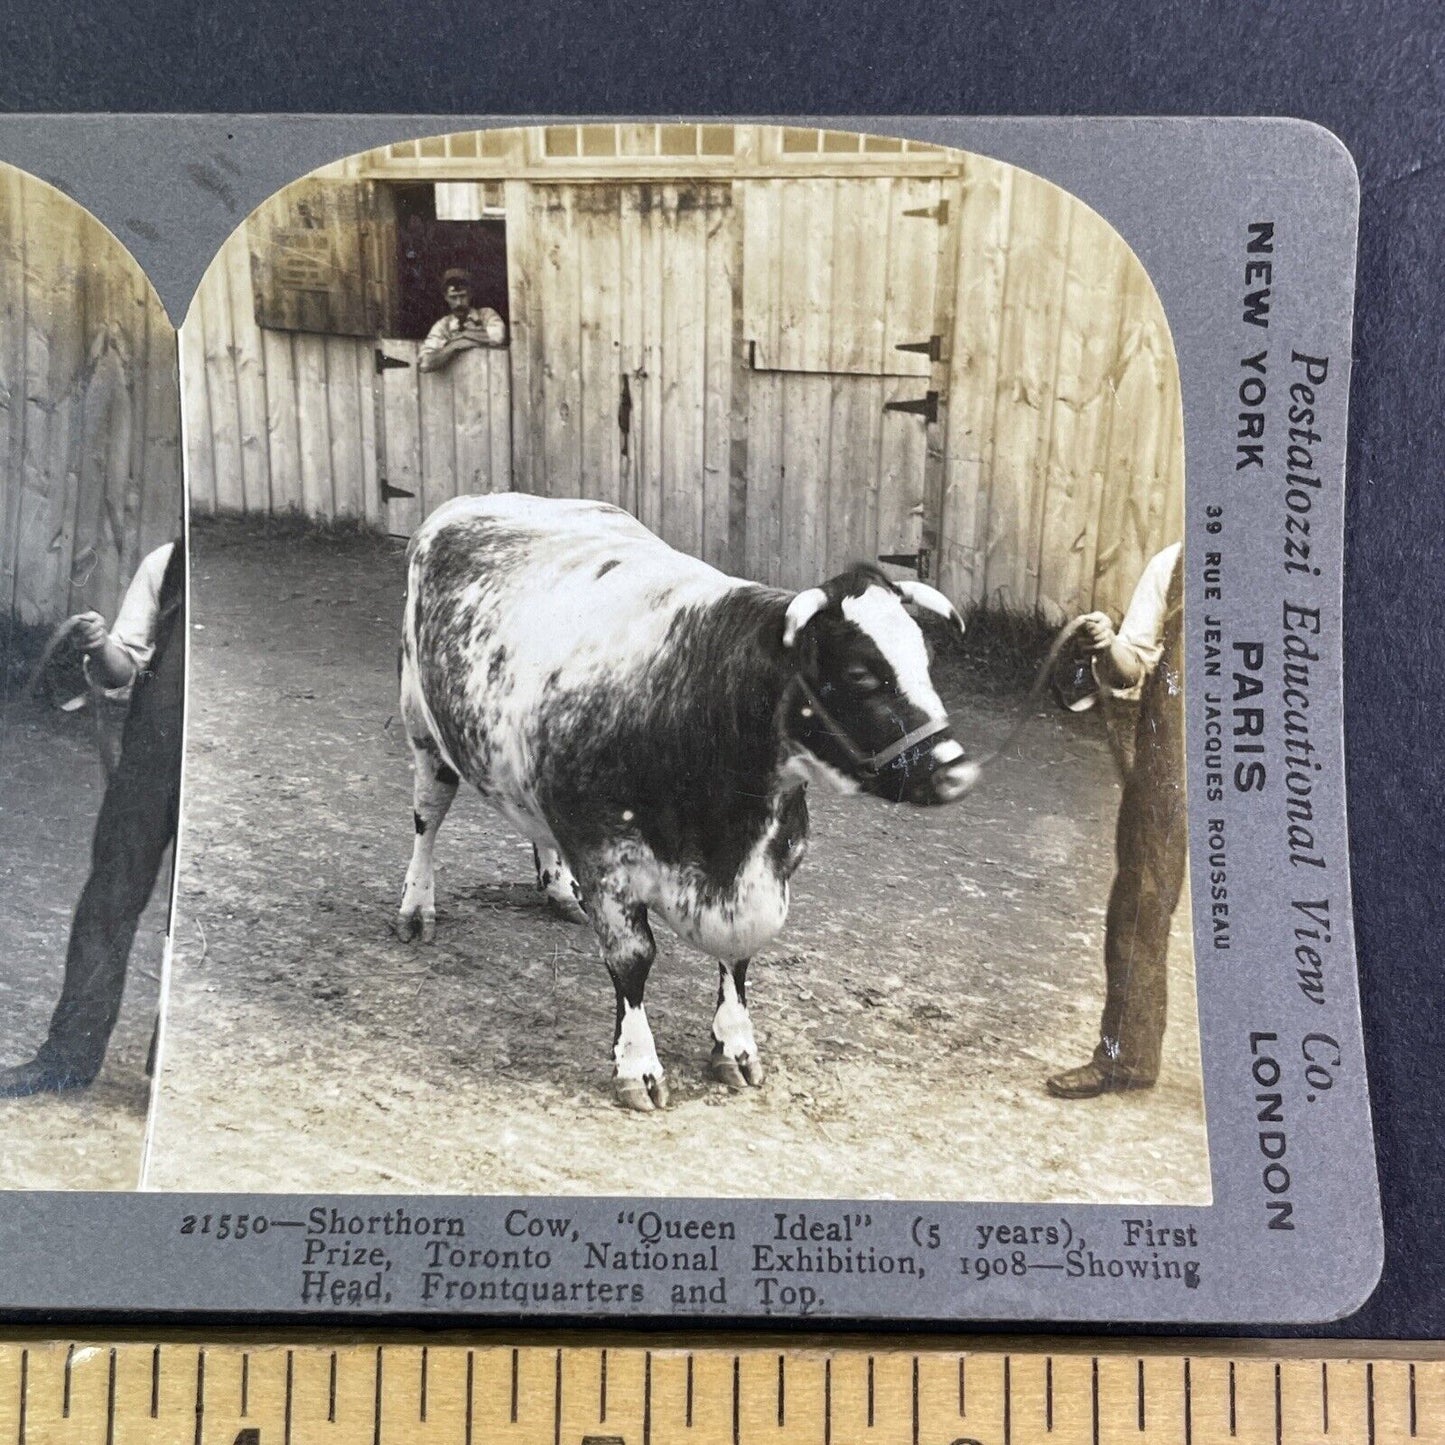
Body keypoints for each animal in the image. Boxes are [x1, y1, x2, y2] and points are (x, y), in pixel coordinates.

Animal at [398, 491, 982, 1109]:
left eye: (926, 662)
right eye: (860, 674)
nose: (957, 772)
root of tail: (481, 500)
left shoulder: (768, 868)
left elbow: (739, 955)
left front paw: (735, 1044)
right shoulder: (604, 854)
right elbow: (633, 959)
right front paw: (637, 1064)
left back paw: (558, 891)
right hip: (422, 728)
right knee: (427, 819)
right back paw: (416, 907)